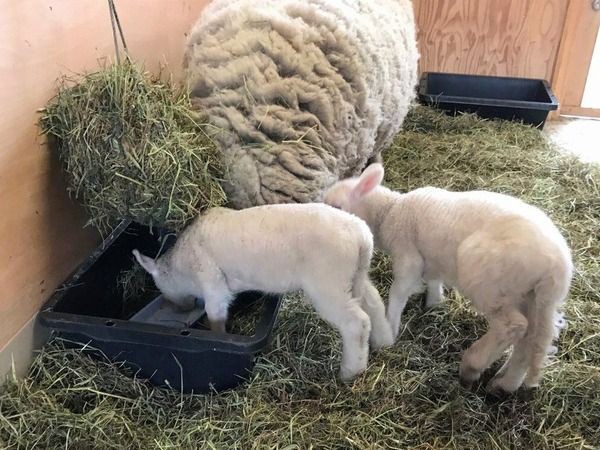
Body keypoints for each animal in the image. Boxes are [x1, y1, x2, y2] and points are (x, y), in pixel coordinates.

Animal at [131, 202, 394, 382]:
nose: (179, 308)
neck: (182, 265)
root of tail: (362, 238)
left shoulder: (213, 284)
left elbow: (216, 316)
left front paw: (217, 335)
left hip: (328, 282)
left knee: (356, 322)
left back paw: (350, 371)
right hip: (355, 275)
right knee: (374, 303)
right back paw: (384, 341)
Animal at [324, 163, 572, 392]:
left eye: (337, 206)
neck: (391, 211)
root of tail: (557, 268)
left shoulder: (407, 255)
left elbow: (398, 293)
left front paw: (391, 327)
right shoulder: (433, 260)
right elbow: (434, 280)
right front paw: (434, 303)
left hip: (489, 284)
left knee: (513, 327)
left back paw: (472, 366)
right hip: (527, 294)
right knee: (531, 338)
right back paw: (505, 384)